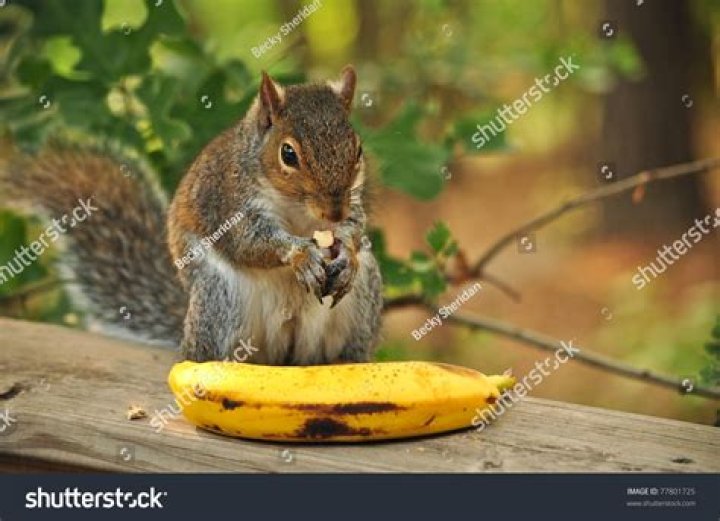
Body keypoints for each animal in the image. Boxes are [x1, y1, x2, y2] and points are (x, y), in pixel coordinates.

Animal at [0, 66, 383, 365]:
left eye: (358, 149)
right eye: (288, 154)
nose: (334, 210)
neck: (296, 210)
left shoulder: (350, 210)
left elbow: (354, 229)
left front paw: (346, 254)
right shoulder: (226, 201)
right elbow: (248, 243)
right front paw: (300, 254)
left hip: (362, 298)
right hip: (220, 297)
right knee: (209, 352)